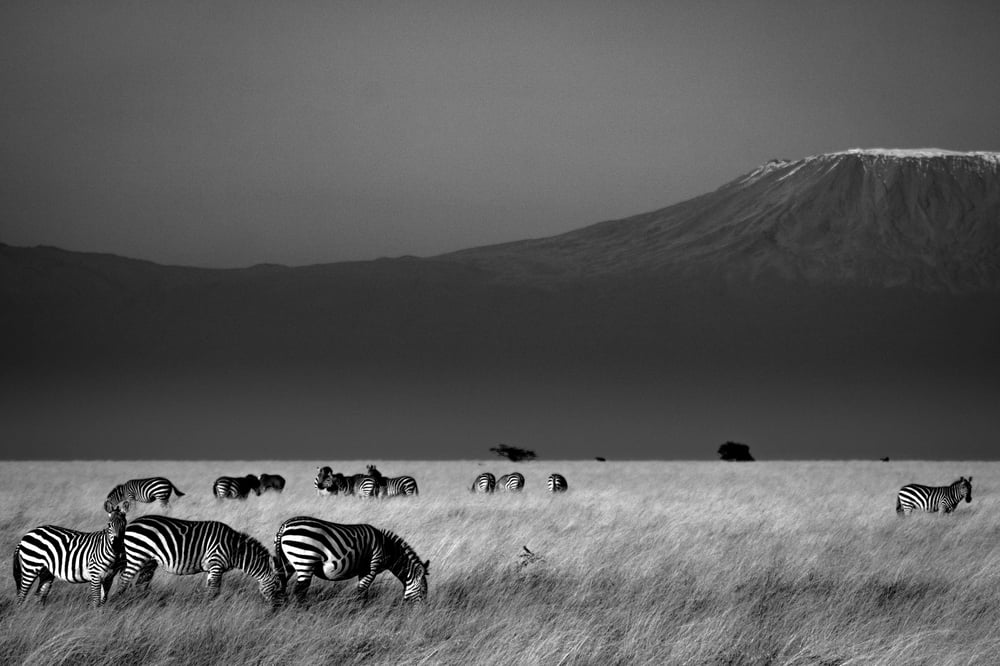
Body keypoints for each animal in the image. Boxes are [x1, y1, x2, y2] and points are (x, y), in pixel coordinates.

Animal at [118, 510, 282, 604]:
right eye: (277, 585)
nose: (276, 608)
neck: (234, 550)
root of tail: (131, 523)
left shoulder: (212, 569)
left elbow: (211, 589)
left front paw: (205, 606)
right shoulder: (216, 564)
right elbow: (214, 590)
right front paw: (210, 611)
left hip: (149, 561)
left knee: (140, 583)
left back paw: (141, 603)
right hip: (137, 555)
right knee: (124, 579)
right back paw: (120, 603)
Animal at [274, 512, 430, 600]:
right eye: (423, 591)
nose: (420, 614)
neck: (387, 548)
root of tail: (285, 526)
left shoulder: (363, 570)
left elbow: (363, 592)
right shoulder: (371, 567)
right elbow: (362, 592)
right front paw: (361, 613)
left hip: (287, 564)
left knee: (281, 587)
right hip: (304, 560)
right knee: (299, 592)